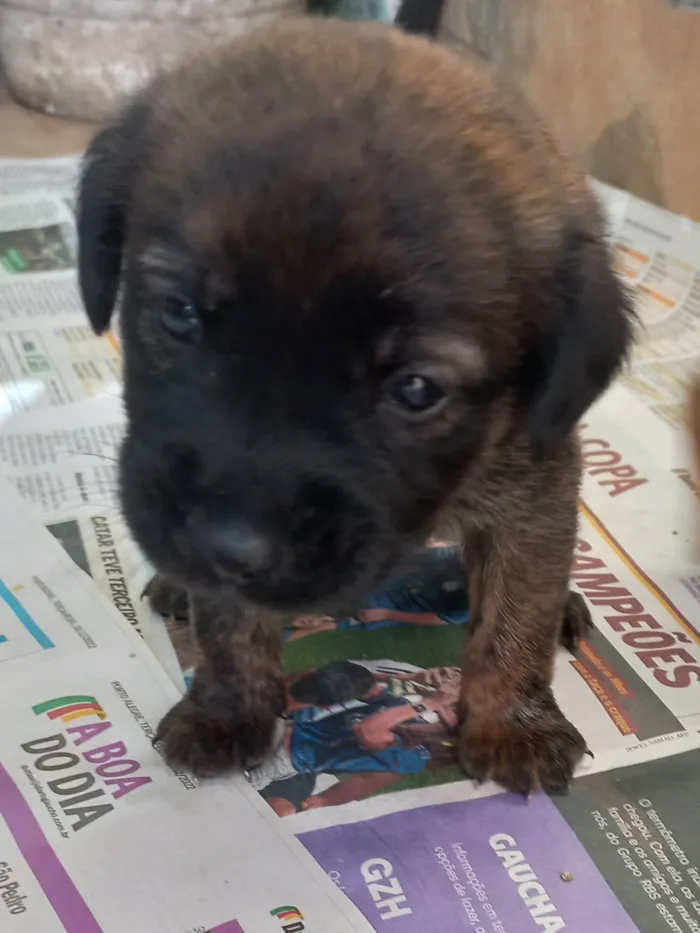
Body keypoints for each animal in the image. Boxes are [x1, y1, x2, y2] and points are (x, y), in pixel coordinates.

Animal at [79, 18, 632, 792]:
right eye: (180, 313)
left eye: (416, 389)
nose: (226, 545)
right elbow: (229, 625)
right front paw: (230, 705)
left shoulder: (536, 488)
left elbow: (517, 612)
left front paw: (510, 721)